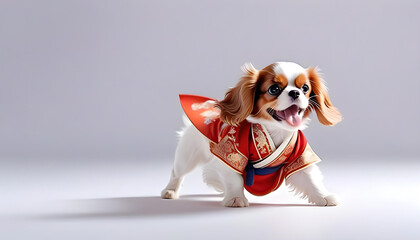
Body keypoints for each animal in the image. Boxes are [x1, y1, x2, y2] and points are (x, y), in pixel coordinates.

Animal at [161, 61, 342, 206]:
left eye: (305, 88)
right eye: (274, 89)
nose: (295, 92)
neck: (275, 129)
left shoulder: (299, 155)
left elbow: (311, 180)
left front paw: (324, 197)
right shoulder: (231, 154)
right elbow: (234, 179)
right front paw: (235, 199)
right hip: (188, 155)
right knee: (177, 172)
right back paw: (170, 191)